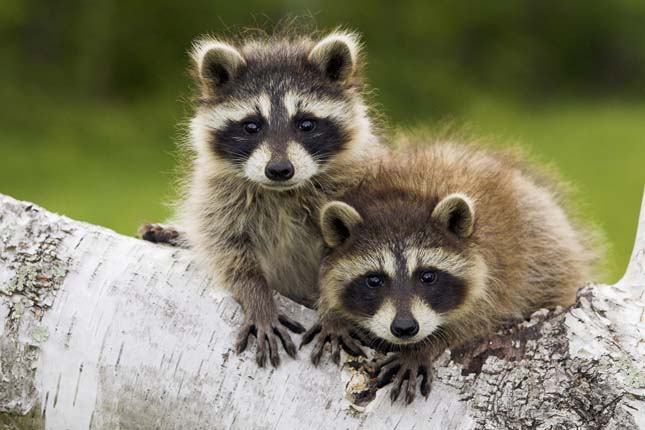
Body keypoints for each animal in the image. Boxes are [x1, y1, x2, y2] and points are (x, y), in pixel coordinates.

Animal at [142, 30, 384, 368]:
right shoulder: (218, 195)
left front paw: (334, 314)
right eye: (251, 126)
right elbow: (227, 249)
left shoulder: (357, 186)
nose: (279, 169)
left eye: (306, 124)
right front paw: (256, 295)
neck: (281, 193)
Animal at [306, 141, 600, 404]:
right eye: (374, 280)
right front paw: (333, 315)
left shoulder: (499, 273)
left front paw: (425, 347)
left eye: (427, 276)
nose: (405, 328)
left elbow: (477, 319)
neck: (403, 195)